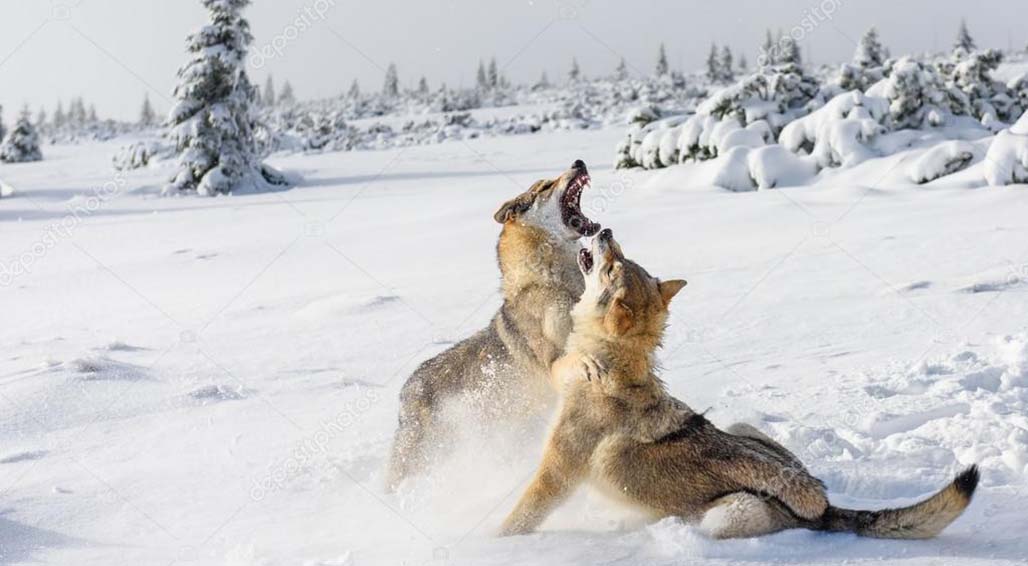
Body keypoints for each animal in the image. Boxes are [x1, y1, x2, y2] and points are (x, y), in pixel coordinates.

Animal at [388, 159, 604, 491]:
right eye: (544, 186)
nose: (578, 162)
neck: (553, 283)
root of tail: (404, 392)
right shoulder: (554, 364)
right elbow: (574, 360)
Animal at [497, 229, 978, 542]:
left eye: (614, 263)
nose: (605, 230)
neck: (612, 367)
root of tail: (824, 506)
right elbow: (560, 364)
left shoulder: (558, 470)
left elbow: (521, 515)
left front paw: (493, 543)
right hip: (743, 425)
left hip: (724, 516)